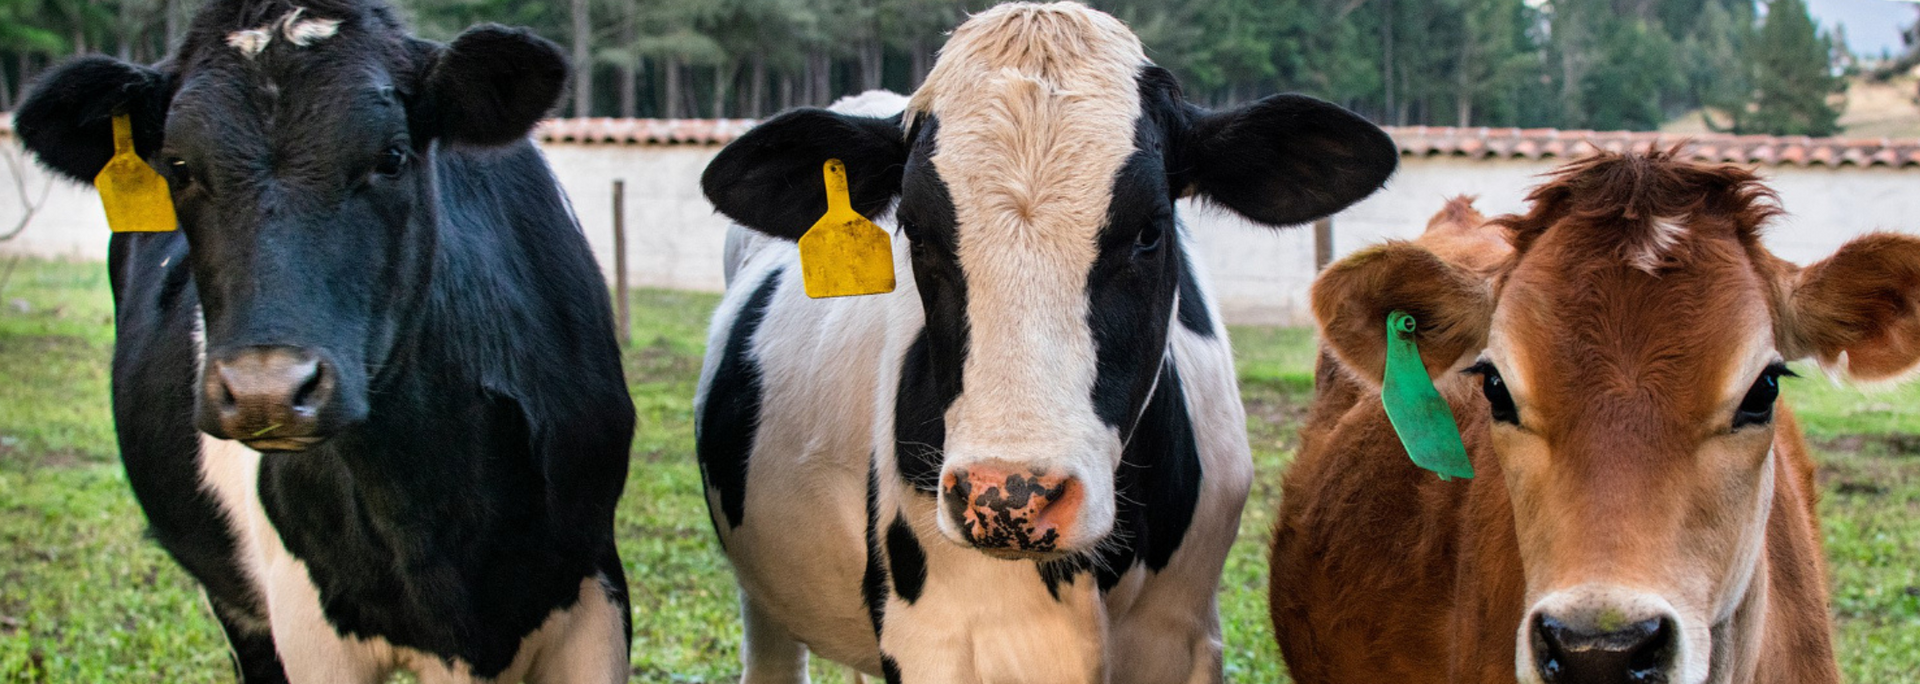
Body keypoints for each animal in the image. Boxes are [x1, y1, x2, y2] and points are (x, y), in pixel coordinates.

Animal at [692, 3, 1398, 682]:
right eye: (915, 231)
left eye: (1150, 229)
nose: (1007, 495)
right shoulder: (933, 641)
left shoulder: (1183, 636)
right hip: (765, 595)